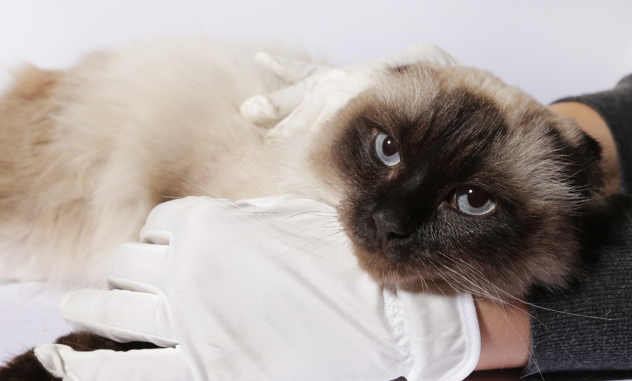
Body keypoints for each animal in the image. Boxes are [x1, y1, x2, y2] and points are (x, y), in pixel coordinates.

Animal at [0, 36, 604, 378]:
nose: (388, 224)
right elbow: (115, 330)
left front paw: (50, 364)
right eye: (388, 150)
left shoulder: (165, 291)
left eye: (473, 202)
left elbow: (139, 341)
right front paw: (33, 365)